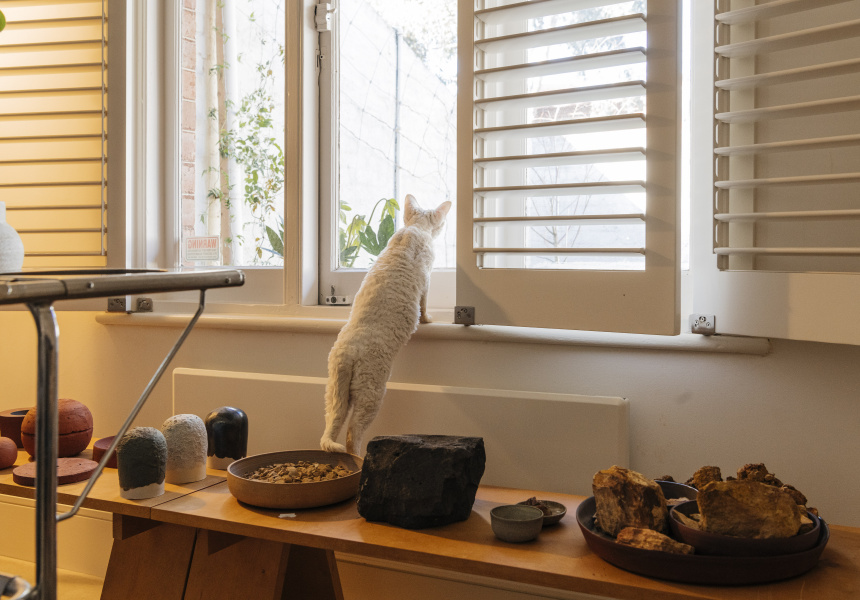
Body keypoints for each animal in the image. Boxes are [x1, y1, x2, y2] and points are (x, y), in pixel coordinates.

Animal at [320, 194, 452, 455]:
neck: (413, 229)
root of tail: (347, 352)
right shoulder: (426, 280)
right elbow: (424, 305)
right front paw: (428, 319)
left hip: (334, 394)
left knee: (331, 430)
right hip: (371, 393)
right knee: (352, 434)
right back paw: (359, 458)